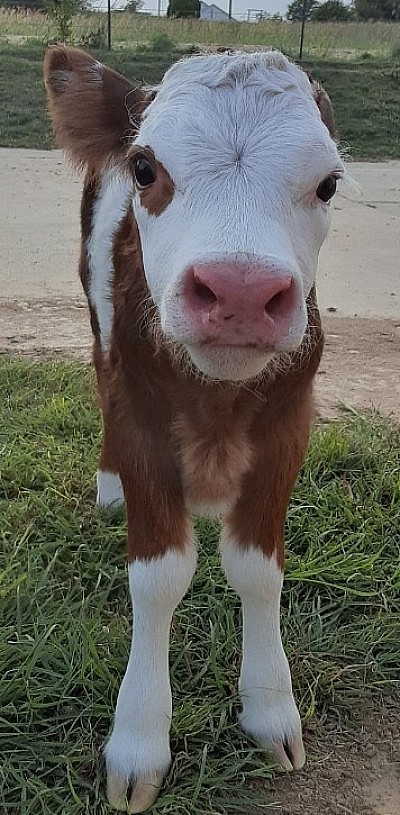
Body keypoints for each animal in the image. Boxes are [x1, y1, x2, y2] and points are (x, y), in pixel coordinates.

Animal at [43, 46, 344, 815]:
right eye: (147, 169)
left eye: (329, 182)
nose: (239, 292)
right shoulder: (141, 414)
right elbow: (158, 577)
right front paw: (138, 739)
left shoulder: (289, 422)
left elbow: (258, 569)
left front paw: (270, 708)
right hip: (97, 315)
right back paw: (109, 487)